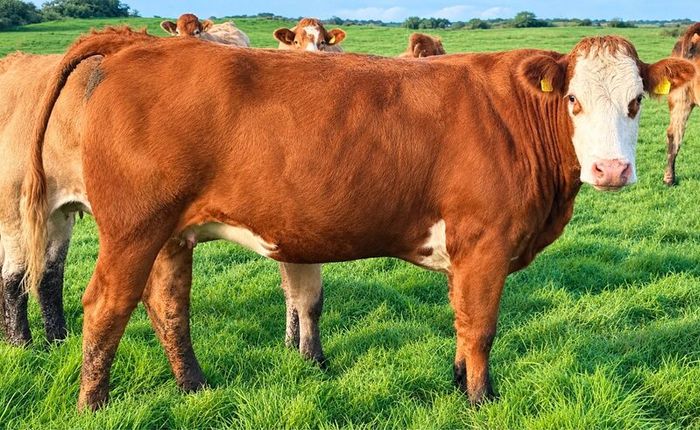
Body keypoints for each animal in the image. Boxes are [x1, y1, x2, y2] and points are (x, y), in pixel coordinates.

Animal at [22, 28, 695, 411]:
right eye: (574, 100)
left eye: (636, 101)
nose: (610, 169)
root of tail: (143, 44)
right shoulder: (485, 241)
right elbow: (480, 326)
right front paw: (482, 401)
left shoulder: (466, 252)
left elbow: (460, 323)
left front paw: (458, 386)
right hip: (133, 228)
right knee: (106, 307)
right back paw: (92, 405)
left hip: (170, 234)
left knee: (167, 304)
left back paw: (194, 387)